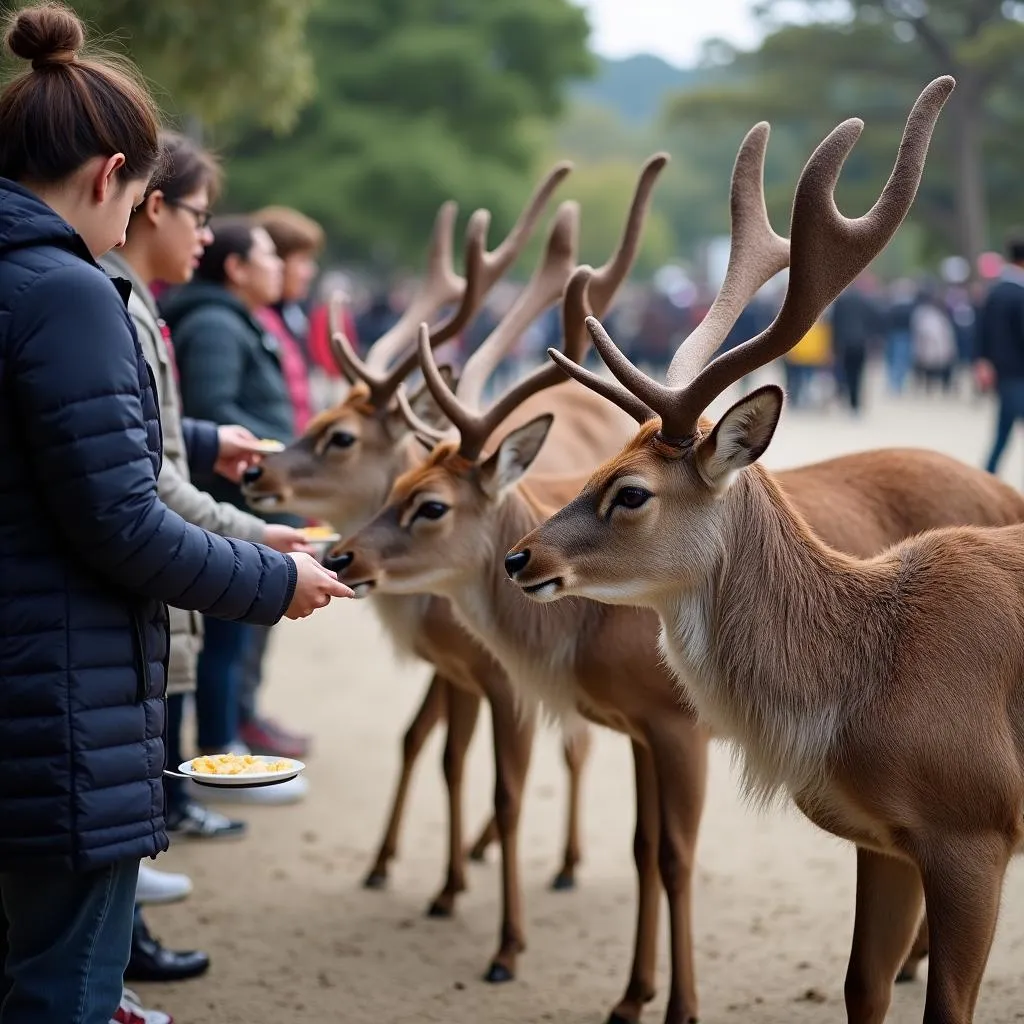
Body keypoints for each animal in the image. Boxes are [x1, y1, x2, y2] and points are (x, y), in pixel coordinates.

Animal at [243, 153, 667, 983]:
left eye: (338, 435)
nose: (253, 471)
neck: (434, 610)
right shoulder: (459, 668)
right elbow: (428, 749)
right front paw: (419, 878)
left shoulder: (501, 674)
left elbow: (502, 784)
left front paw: (503, 941)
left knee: (573, 744)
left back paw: (563, 861)